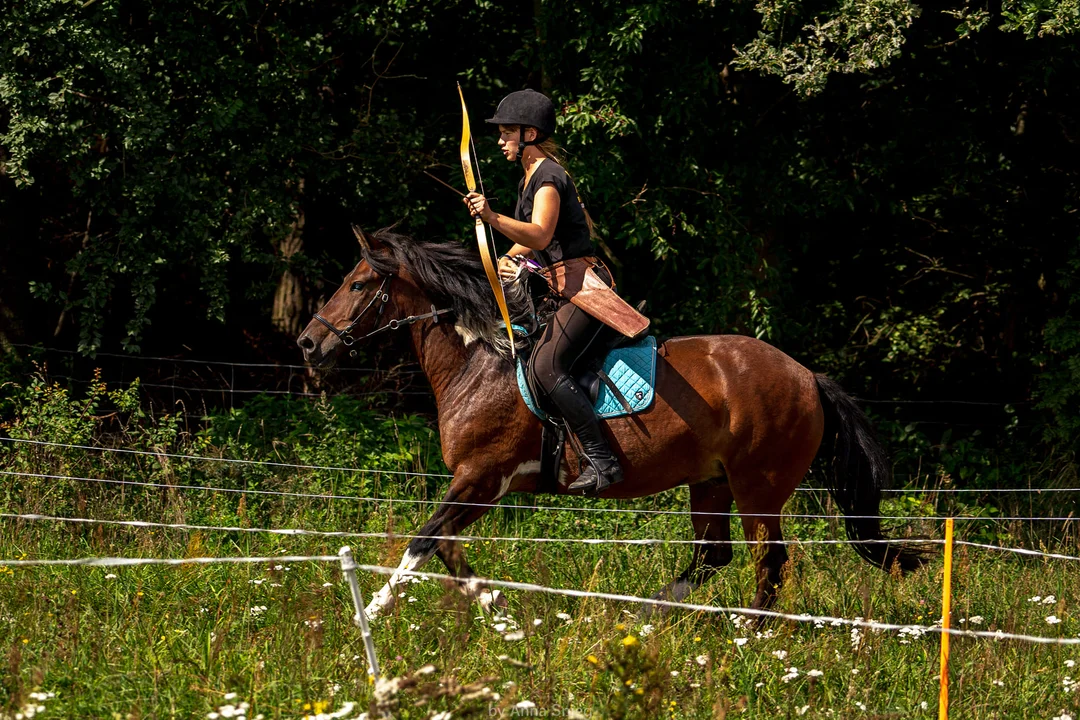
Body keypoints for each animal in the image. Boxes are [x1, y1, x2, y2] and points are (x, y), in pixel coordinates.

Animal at [298, 229, 928, 621]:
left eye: (357, 285)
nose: (308, 343)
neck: (482, 361)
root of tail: (807, 376)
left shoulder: (481, 476)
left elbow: (424, 542)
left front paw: (369, 615)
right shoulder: (484, 486)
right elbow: (449, 551)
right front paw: (501, 615)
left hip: (759, 489)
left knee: (768, 564)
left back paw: (747, 637)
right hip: (711, 482)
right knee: (714, 556)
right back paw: (645, 616)